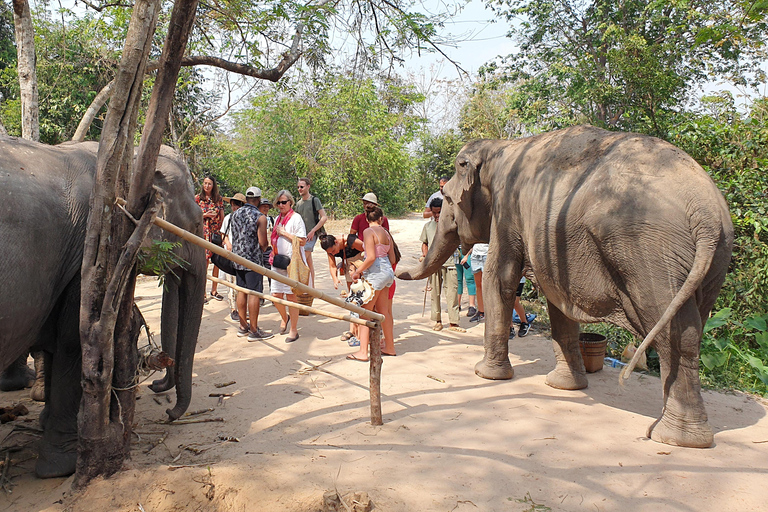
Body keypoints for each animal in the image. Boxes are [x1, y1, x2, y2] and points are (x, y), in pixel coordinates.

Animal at [0, 136, 207, 476]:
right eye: (198, 223)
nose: (168, 411)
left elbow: (57, 346)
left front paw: (48, 431)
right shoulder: (90, 253)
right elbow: (73, 342)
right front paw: (63, 466)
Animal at [400, 125, 736, 448]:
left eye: (449, 200)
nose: (401, 267)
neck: (501, 146)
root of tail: (705, 212)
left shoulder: (509, 210)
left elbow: (500, 278)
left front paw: (485, 374)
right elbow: (557, 297)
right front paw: (563, 386)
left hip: (650, 253)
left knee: (673, 333)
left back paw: (672, 437)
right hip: (714, 259)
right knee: (692, 331)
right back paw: (683, 435)